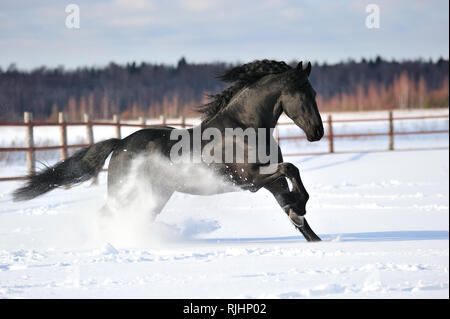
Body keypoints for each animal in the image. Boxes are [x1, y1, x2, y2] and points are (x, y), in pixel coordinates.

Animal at [13, 58, 324, 241]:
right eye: (302, 93)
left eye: (315, 92)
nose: (318, 133)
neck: (243, 128)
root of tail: (120, 145)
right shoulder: (249, 179)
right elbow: (291, 168)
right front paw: (300, 207)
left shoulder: (270, 182)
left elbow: (291, 199)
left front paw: (306, 225)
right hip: (125, 192)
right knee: (105, 214)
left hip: (157, 194)